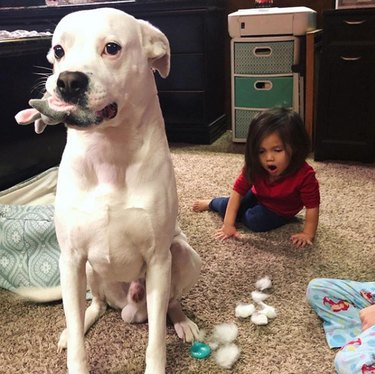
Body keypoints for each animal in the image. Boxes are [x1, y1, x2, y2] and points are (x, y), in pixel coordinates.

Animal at [20, 8, 201, 374]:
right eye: (58, 50)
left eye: (112, 48)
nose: (67, 81)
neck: (107, 151)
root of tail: (127, 307)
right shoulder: (71, 258)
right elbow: (77, 334)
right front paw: (75, 354)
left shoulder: (158, 260)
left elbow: (156, 339)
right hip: (89, 272)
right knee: (94, 306)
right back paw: (79, 323)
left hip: (183, 256)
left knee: (168, 303)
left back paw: (181, 321)